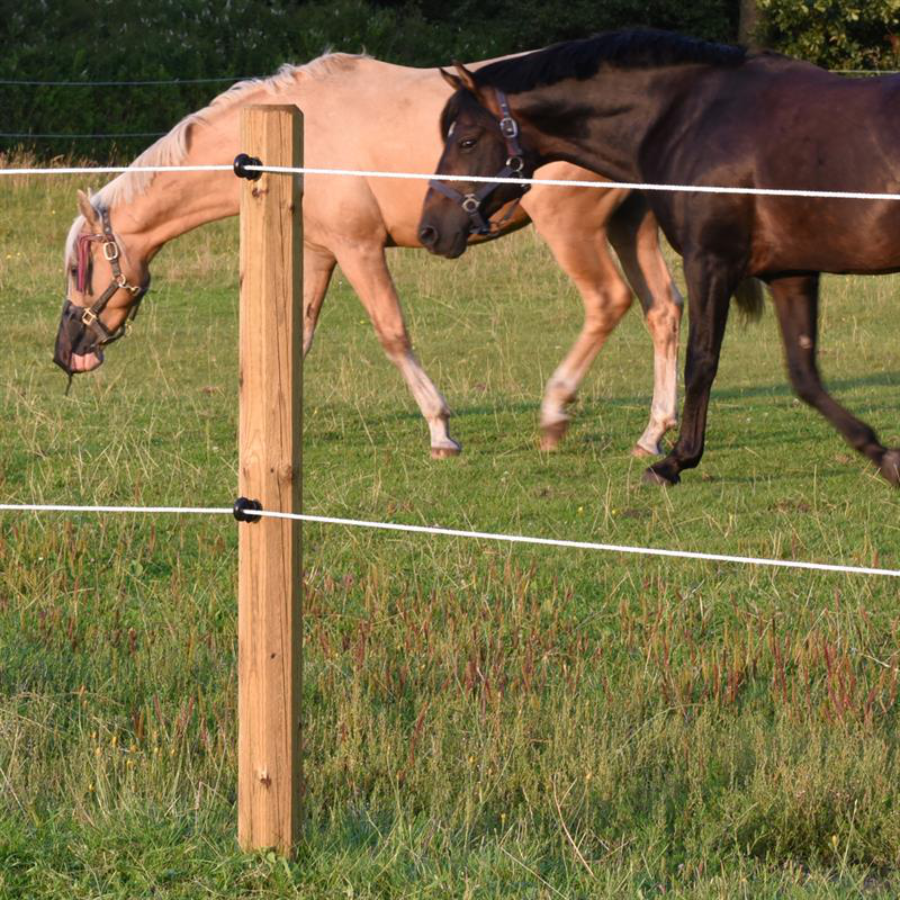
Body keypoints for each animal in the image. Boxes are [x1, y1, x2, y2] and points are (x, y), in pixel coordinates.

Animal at [52, 52, 685, 460]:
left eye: (79, 266)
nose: (67, 352)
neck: (296, 134)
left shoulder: (358, 248)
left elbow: (392, 333)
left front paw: (440, 430)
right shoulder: (318, 252)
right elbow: (298, 337)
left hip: (571, 227)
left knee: (608, 302)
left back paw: (555, 413)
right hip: (630, 225)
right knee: (663, 309)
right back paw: (653, 434)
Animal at [419, 29, 900, 487]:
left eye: (467, 141)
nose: (430, 229)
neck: (689, 119)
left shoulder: (710, 261)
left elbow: (701, 362)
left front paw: (674, 461)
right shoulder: (790, 272)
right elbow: (804, 374)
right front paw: (883, 455)